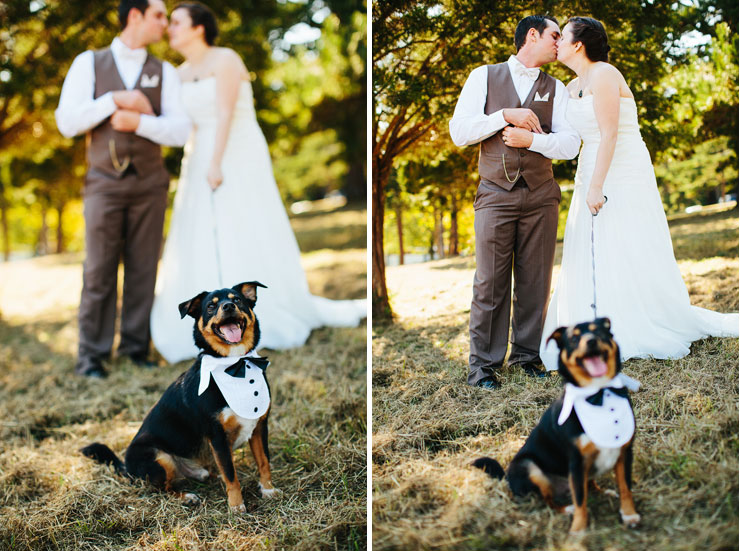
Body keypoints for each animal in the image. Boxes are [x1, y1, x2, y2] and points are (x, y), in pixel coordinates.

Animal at [80, 282, 278, 516]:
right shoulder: (218, 436)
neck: (235, 363)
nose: (228, 306)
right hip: (159, 457)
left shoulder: (259, 427)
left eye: (237, 300)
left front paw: (268, 490)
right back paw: (187, 497)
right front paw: (236, 506)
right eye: (211, 306)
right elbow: (231, 475)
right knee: (160, 489)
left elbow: (264, 462)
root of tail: (126, 468)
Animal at [474, 320, 640, 536]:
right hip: (530, 467)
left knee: (587, 486)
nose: (591, 341)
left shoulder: (624, 453)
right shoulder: (576, 462)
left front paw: (629, 515)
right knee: (549, 501)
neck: (598, 393)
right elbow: (580, 500)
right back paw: (567, 509)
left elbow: (626, 488)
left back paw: (604, 492)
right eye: (574, 338)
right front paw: (578, 530)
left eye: (599, 331)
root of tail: (507, 478)